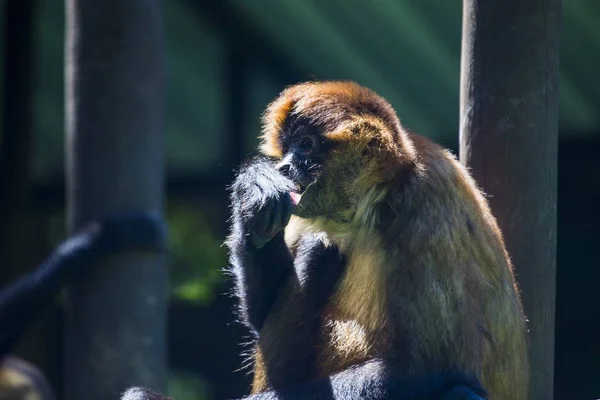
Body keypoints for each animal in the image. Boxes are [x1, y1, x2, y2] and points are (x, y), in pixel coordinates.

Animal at [122, 79, 524, 398]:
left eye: (306, 144)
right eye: (287, 147)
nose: (284, 166)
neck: (369, 209)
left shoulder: (425, 198)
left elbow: (428, 366)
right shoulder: (304, 208)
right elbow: (258, 317)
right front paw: (253, 187)